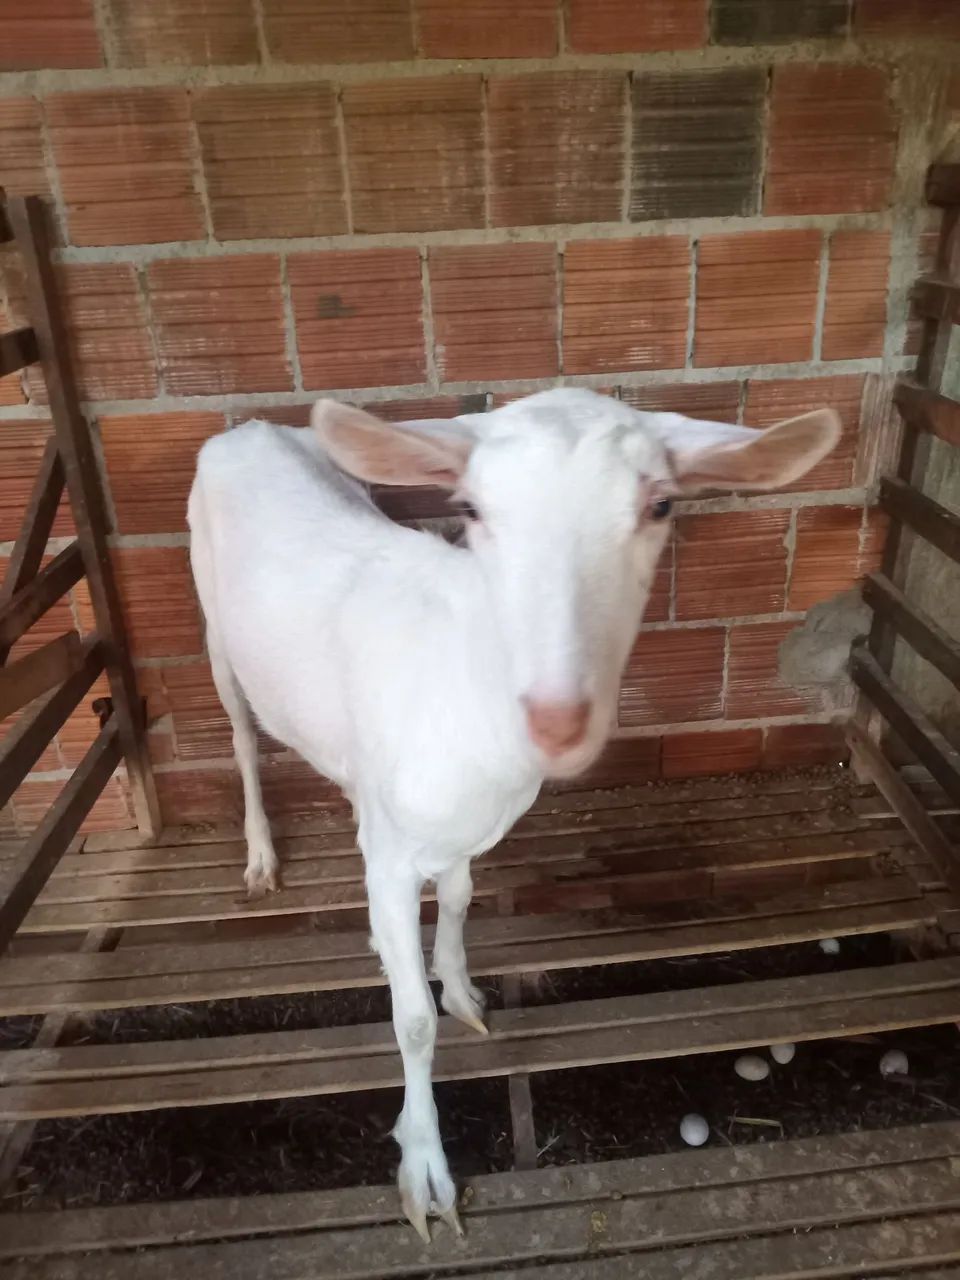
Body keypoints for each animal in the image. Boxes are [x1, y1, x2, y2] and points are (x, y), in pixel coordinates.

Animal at [187, 387, 839, 1240]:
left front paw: (462, 991)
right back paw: (261, 856)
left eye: (661, 504)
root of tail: (250, 430)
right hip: (213, 624)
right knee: (238, 733)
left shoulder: (463, 832)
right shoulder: (391, 860)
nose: (557, 720)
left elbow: (462, 900)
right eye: (470, 507)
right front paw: (426, 1173)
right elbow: (411, 1021)